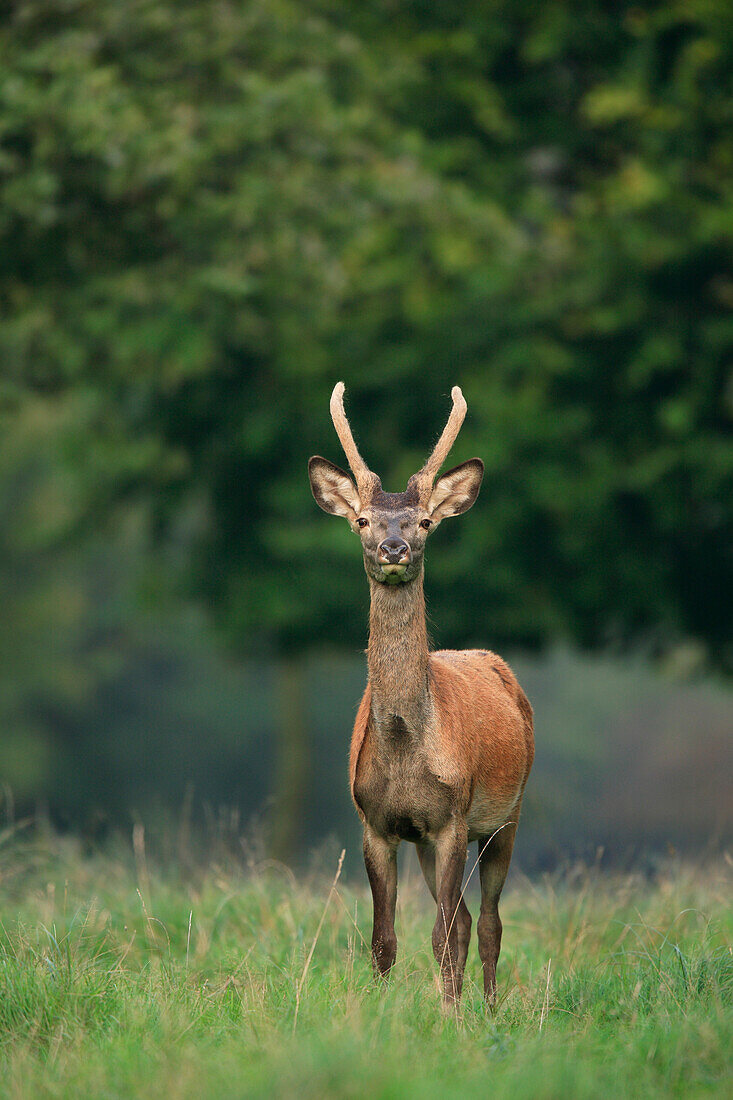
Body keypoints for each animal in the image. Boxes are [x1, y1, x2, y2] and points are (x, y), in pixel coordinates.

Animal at [305, 382, 534, 1003]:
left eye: (427, 522)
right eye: (361, 519)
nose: (393, 548)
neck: (406, 749)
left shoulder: (453, 818)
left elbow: (443, 933)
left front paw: (451, 1014)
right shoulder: (376, 824)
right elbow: (383, 939)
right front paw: (383, 1011)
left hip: (507, 816)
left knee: (488, 922)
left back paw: (488, 1007)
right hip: (432, 844)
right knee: (468, 921)